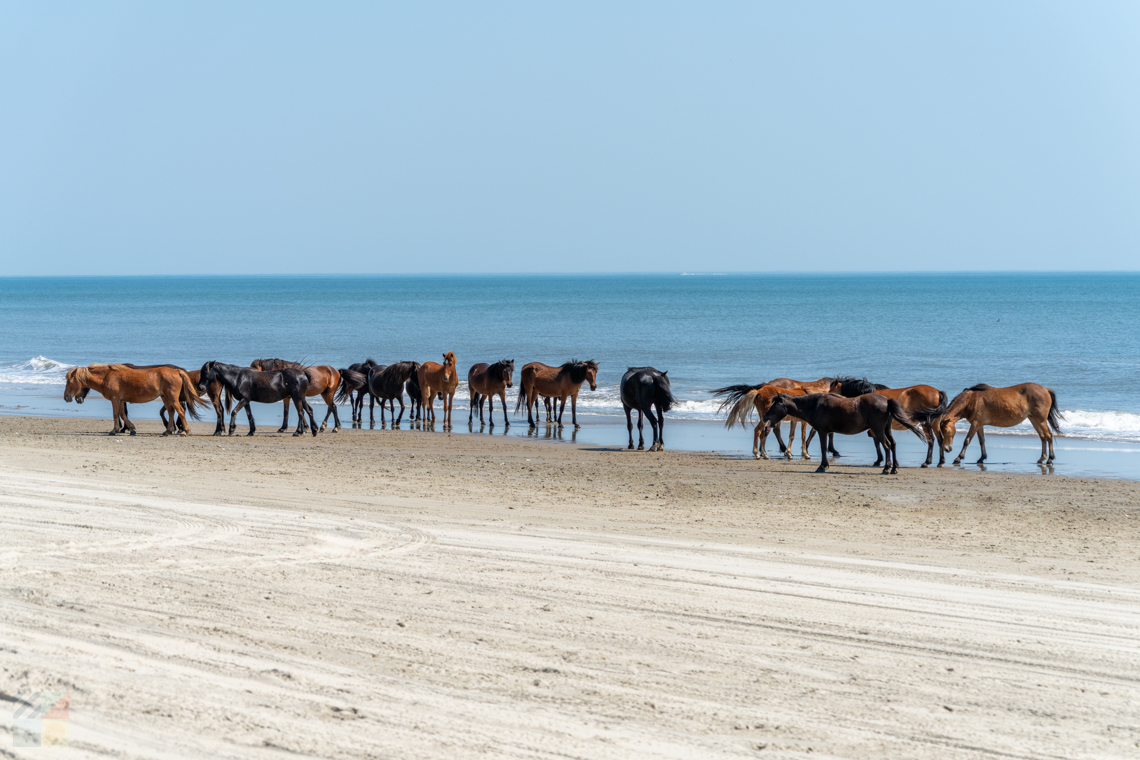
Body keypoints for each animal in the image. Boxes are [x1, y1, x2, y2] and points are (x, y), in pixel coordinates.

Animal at [64, 364, 203, 436]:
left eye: (69, 381)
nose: (66, 397)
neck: (107, 377)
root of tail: (177, 371)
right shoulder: (120, 400)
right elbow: (122, 414)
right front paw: (131, 428)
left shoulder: (115, 399)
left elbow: (116, 414)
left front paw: (114, 430)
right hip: (165, 397)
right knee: (171, 412)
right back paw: (168, 431)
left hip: (172, 398)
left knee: (180, 411)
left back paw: (185, 431)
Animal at [761, 393, 926, 474]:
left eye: (774, 405)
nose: (764, 417)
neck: (815, 405)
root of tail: (886, 401)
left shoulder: (822, 431)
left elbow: (823, 448)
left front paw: (822, 466)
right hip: (886, 430)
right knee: (892, 444)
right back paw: (893, 468)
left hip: (879, 430)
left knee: (886, 446)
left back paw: (886, 468)